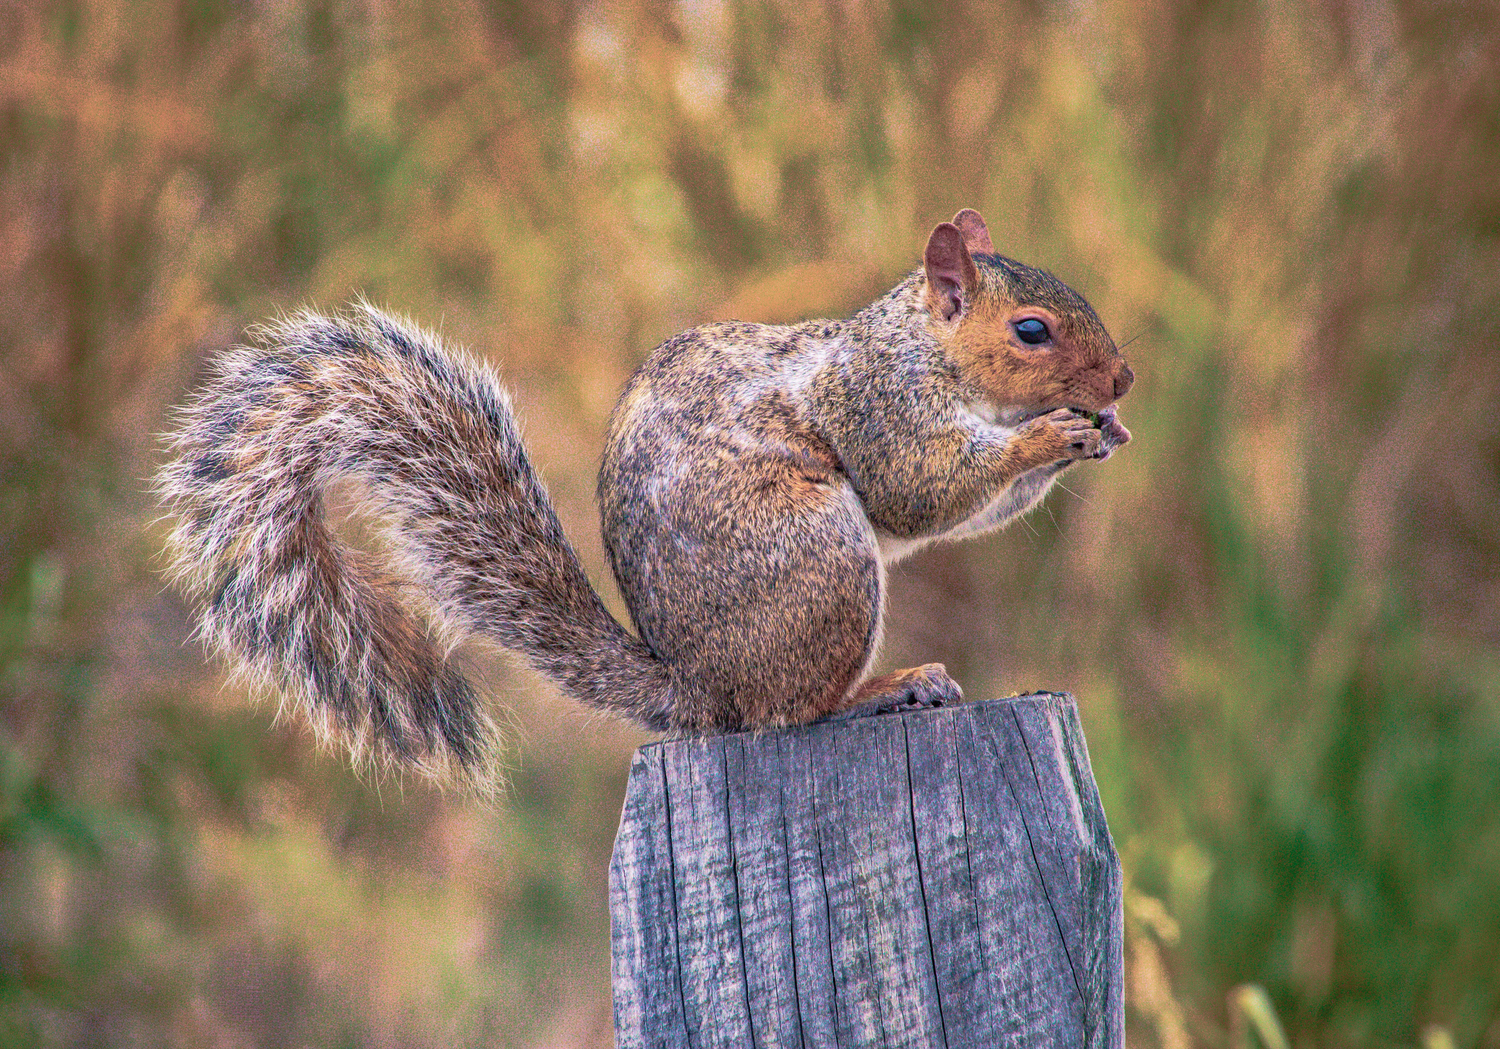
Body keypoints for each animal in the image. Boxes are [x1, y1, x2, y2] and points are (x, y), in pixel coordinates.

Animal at [157, 209, 1133, 788]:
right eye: (1031, 330)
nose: (1123, 379)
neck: (925, 355)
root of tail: (698, 691)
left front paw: (1100, 433)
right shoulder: (877, 409)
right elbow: (921, 494)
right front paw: (1050, 436)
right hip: (820, 564)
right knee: (788, 712)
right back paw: (886, 686)